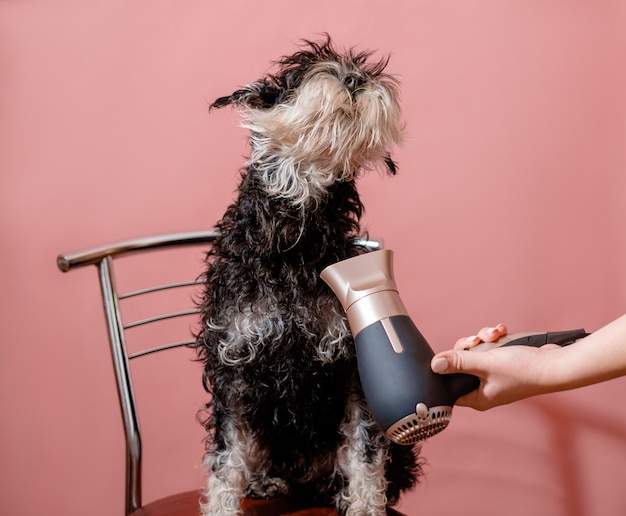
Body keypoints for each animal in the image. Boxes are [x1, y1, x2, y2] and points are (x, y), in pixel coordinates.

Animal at [193, 34, 422, 512]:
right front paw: (223, 506)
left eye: (361, 70)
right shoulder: (232, 361)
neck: (294, 242)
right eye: (298, 75)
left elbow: (364, 450)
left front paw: (365, 506)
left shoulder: (355, 365)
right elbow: (225, 455)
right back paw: (266, 482)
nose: (353, 78)